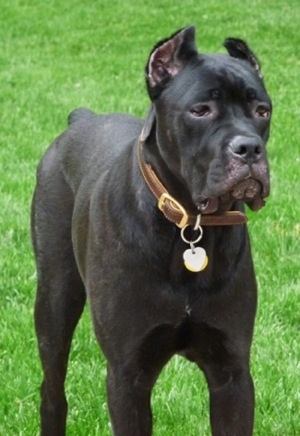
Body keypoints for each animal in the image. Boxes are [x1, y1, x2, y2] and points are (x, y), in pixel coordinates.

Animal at [32, 27, 272, 436]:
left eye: (262, 111)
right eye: (200, 110)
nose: (250, 148)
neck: (190, 226)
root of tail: (80, 120)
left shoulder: (232, 373)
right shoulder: (128, 375)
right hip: (55, 300)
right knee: (52, 393)